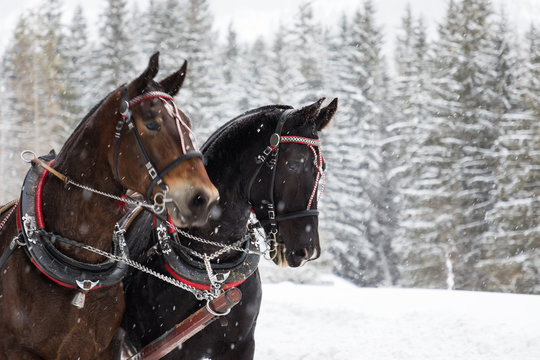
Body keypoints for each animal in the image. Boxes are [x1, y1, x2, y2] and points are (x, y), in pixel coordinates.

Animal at [121, 97, 338, 358]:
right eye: (294, 164)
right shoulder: (162, 349)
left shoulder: (241, 345)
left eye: (323, 168)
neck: (214, 269)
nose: (309, 250)